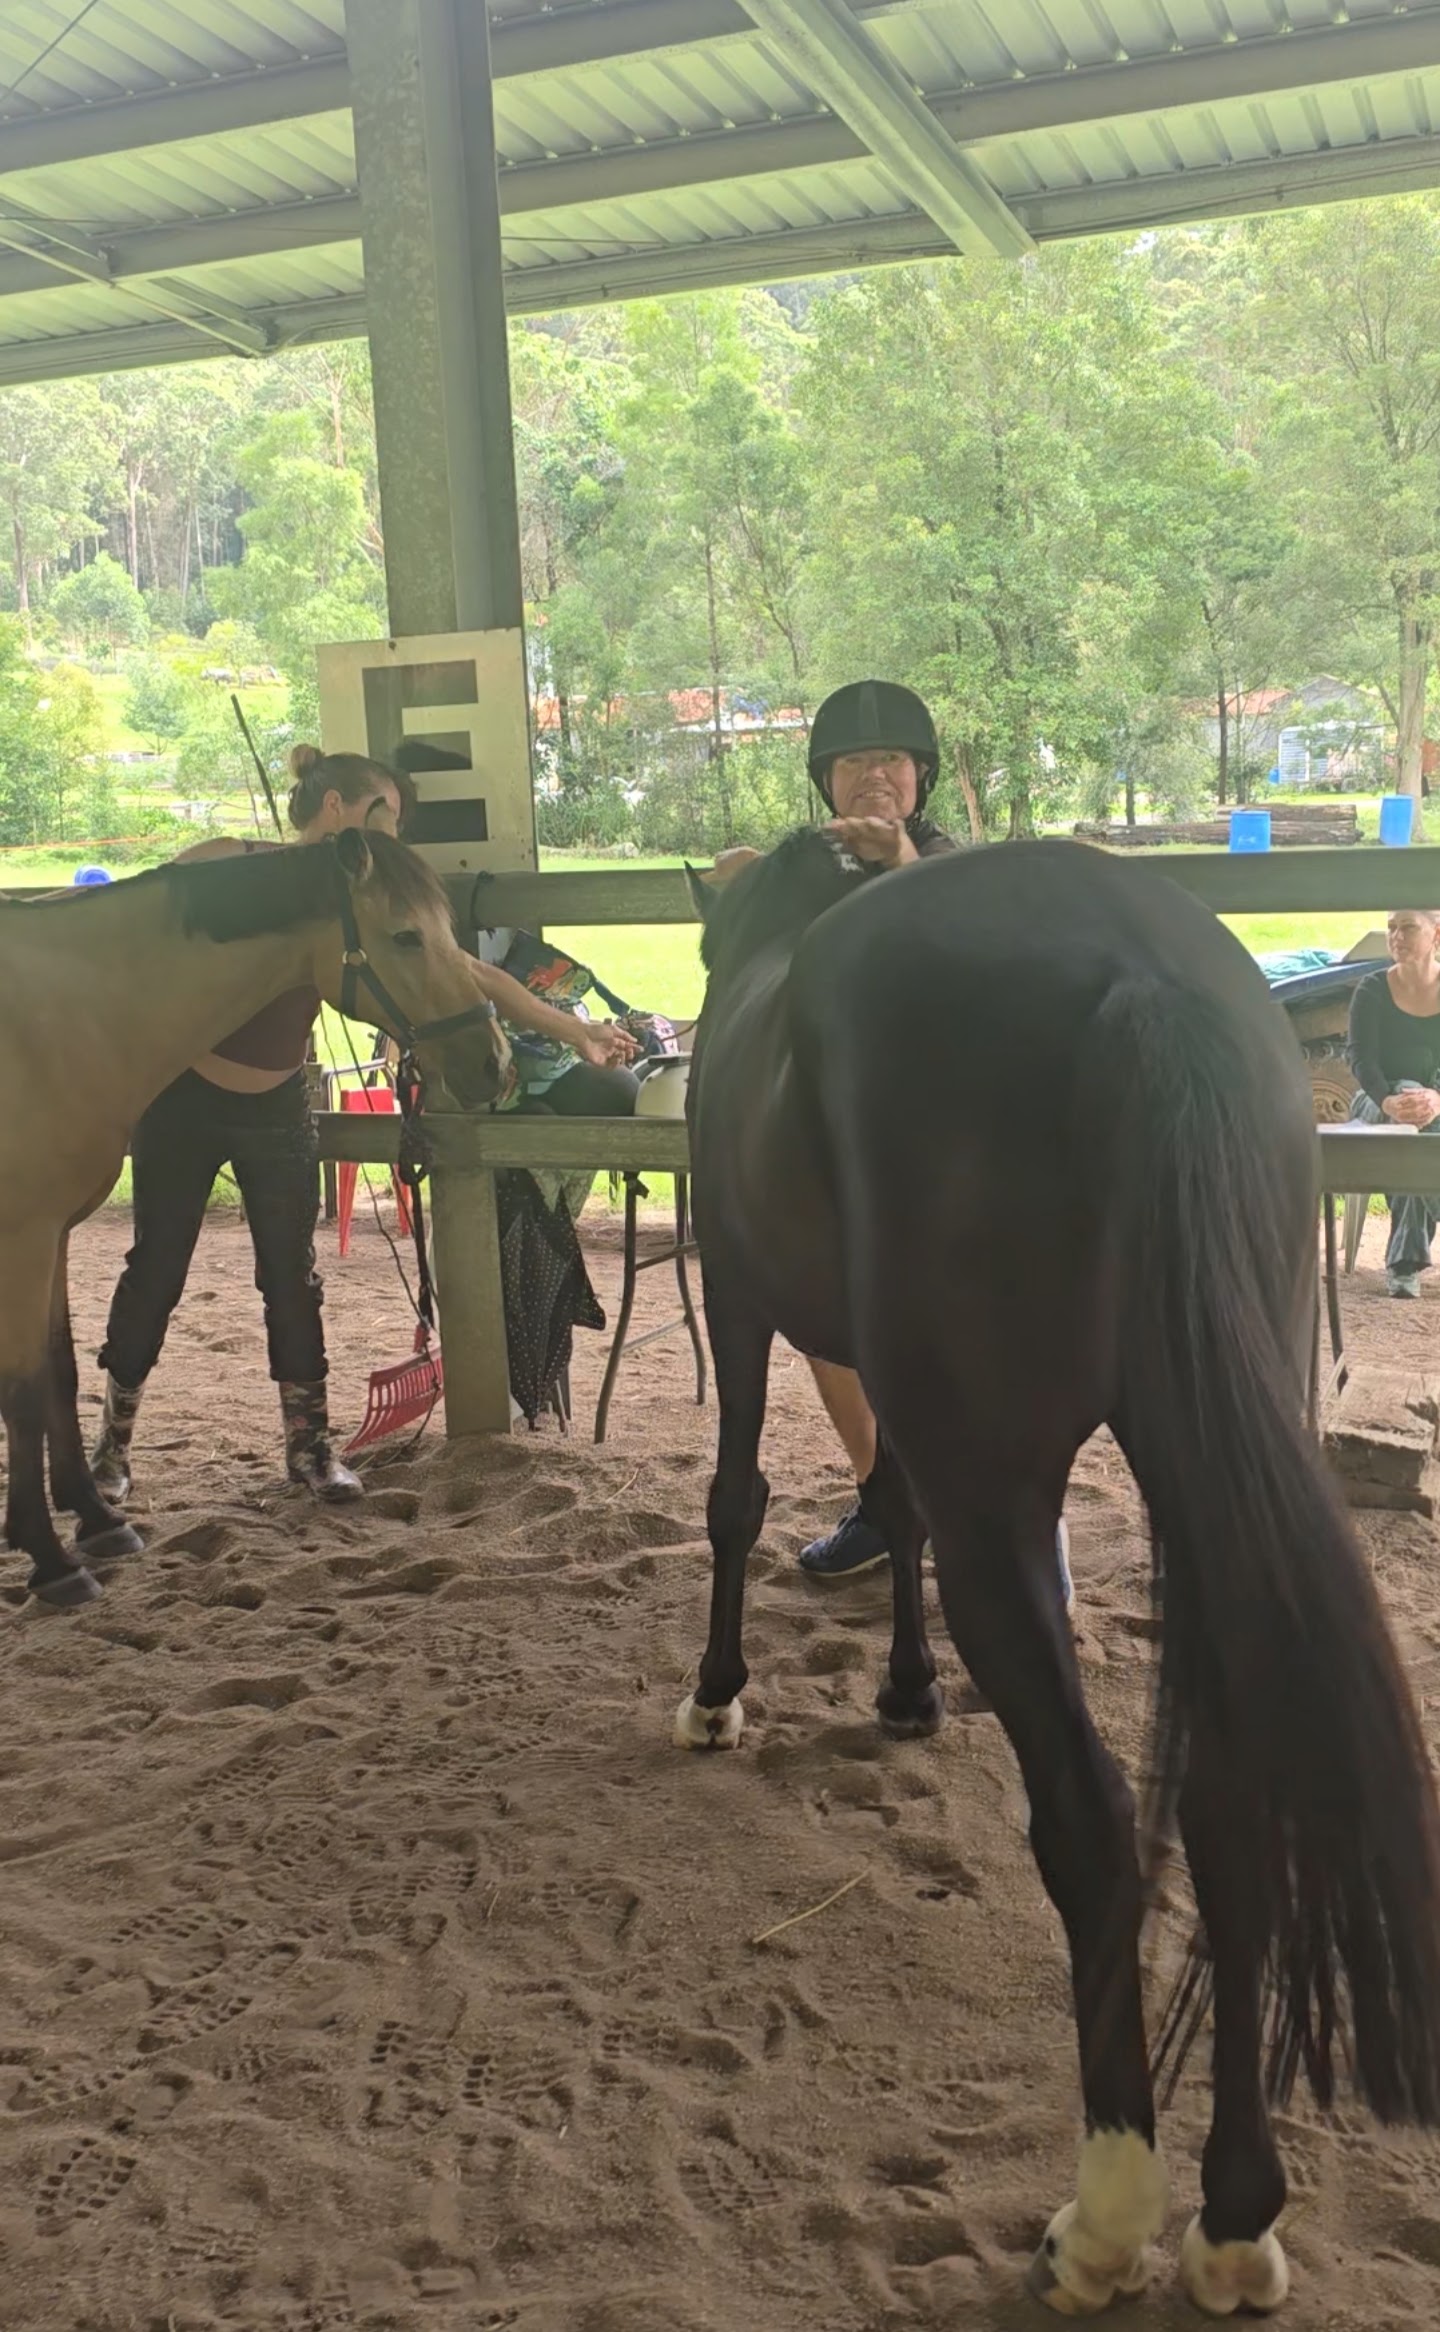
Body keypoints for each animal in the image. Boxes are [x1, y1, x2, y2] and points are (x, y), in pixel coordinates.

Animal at [0, 830, 507, 1610]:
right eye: (405, 935)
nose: (493, 1062)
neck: (66, 1012)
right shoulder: (24, 1239)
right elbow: (26, 1391)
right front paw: (52, 1559)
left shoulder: (51, 1235)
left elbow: (58, 1370)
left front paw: (94, 1521)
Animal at [679, 828, 1440, 2317]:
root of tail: (1136, 975)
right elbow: (889, 1508)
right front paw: (905, 1694)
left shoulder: (738, 1298)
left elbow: (739, 1500)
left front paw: (717, 1693)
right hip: (1202, 1454)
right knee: (1226, 1804)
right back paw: (1232, 2222)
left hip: (1011, 1506)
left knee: (1092, 1822)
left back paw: (1105, 2216)